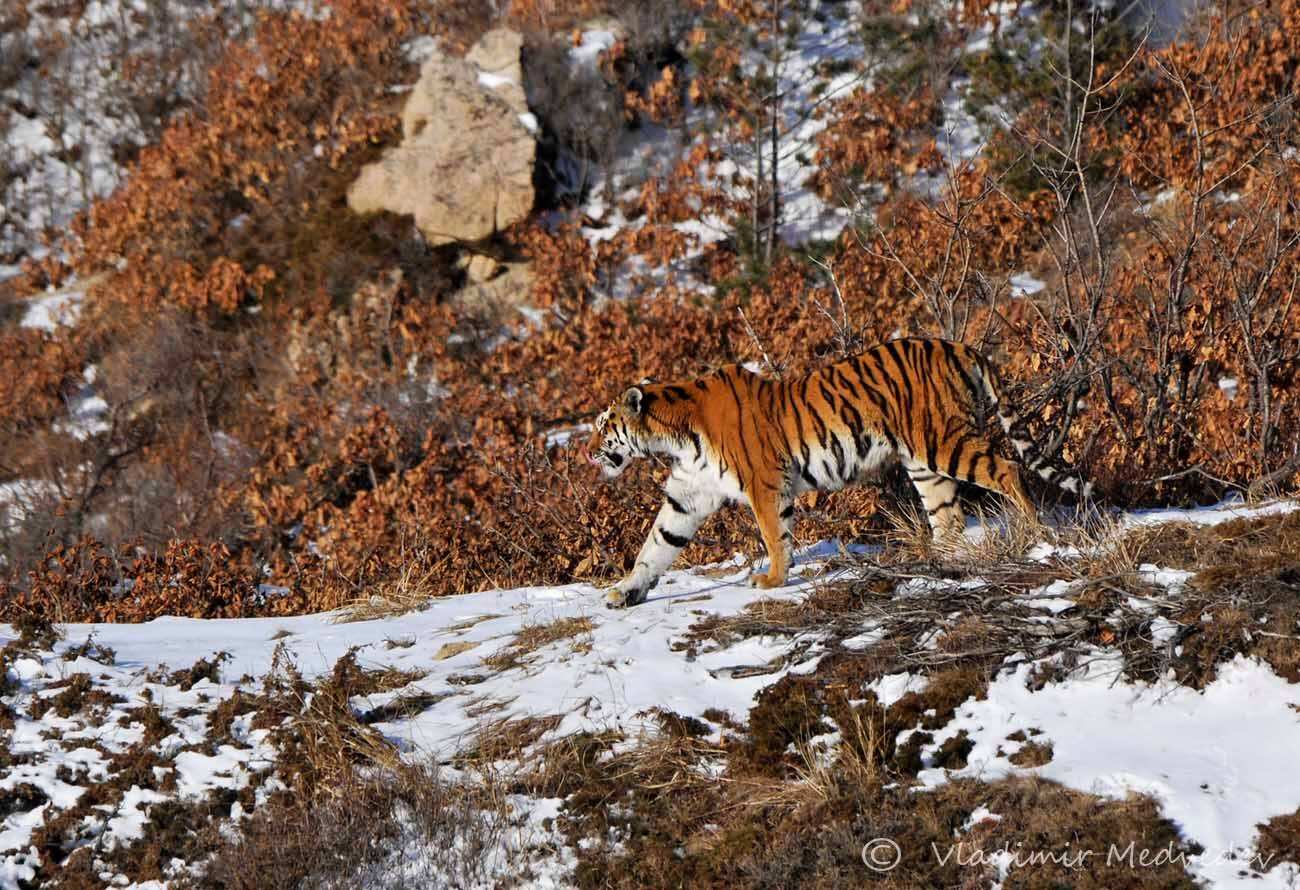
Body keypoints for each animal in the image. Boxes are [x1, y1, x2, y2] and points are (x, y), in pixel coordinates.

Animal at [587, 337, 1086, 608]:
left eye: (603, 426)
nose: (589, 453)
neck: (675, 437)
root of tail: (956, 345)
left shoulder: (765, 484)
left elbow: (774, 536)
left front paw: (771, 580)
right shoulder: (687, 496)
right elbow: (655, 547)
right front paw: (624, 592)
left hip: (944, 440)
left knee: (1007, 469)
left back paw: (1030, 529)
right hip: (923, 461)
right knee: (948, 516)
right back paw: (935, 556)